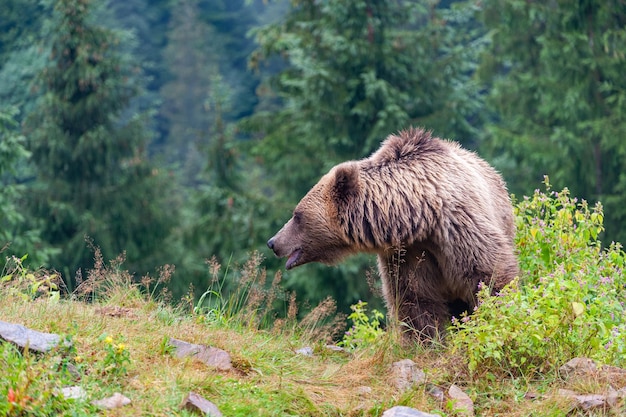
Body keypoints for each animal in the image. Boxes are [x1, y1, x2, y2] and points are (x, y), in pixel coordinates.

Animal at [268, 127, 516, 338]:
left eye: (297, 215)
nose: (273, 242)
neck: (418, 218)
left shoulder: (457, 229)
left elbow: (488, 276)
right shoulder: (407, 255)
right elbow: (415, 299)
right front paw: (426, 340)